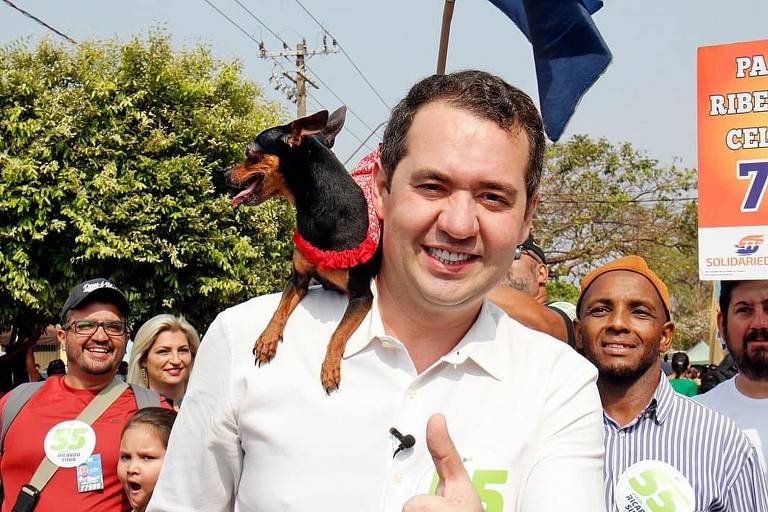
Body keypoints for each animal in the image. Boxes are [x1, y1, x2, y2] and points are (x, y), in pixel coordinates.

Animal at [228, 106, 384, 390]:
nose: (225, 174)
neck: (319, 211)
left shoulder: (361, 297)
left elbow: (338, 332)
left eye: (248, 153)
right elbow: (280, 307)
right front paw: (267, 339)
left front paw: (330, 366)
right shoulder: (299, 279)